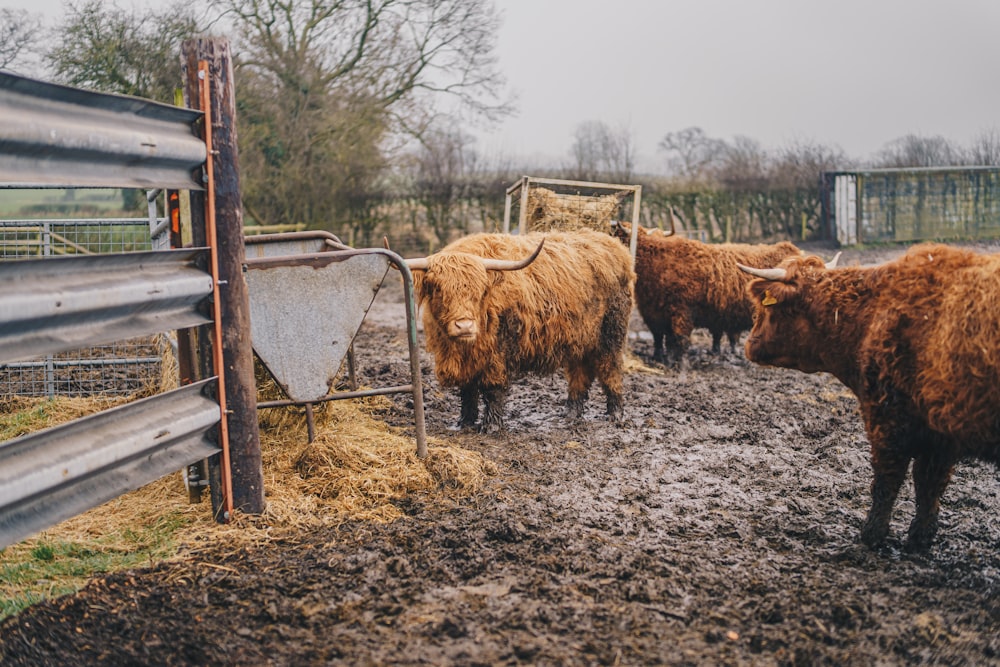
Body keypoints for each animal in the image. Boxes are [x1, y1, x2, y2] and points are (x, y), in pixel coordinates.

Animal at [404, 228, 632, 434]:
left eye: (479, 291)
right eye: (438, 289)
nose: (465, 326)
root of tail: (613, 245)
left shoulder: (498, 354)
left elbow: (492, 390)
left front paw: (491, 426)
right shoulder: (467, 360)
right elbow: (467, 391)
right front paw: (464, 422)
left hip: (611, 336)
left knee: (611, 371)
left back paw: (616, 415)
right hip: (580, 341)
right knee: (580, 375)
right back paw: (571, 414)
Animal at [608, 220, 804, 366]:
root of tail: (790, 249)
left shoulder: (681, 312)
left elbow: (679, 339)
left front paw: (675, 363)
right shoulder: (652, 312)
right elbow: (659, 337)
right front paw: (658, 357)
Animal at [740, 243, 1000, 552]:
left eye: (768, 310)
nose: (749, 343)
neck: (871, 315)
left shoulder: (887, 417)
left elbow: (887, 480)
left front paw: (872, 534)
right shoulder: (939, 434)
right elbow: (929, 484)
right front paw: (920, 537)